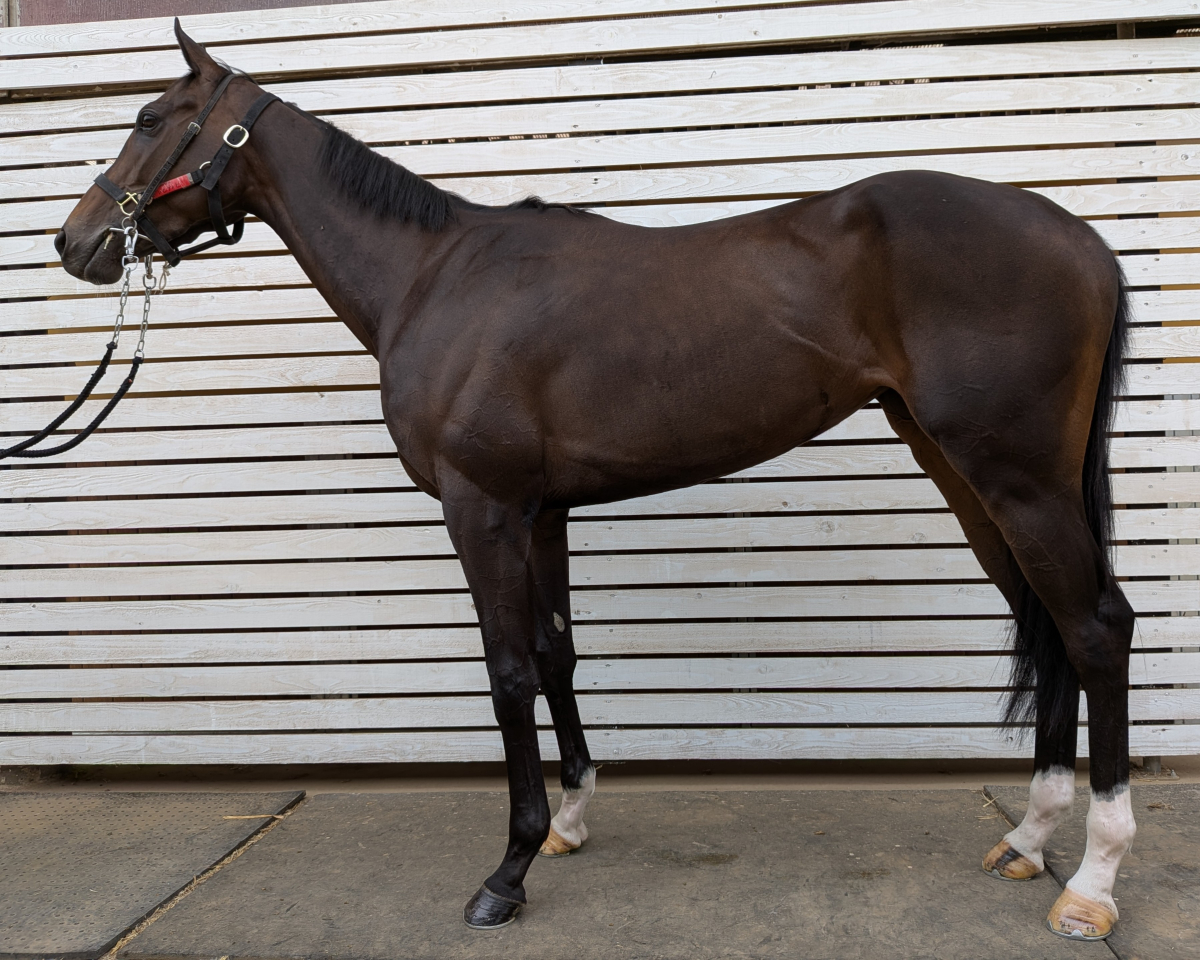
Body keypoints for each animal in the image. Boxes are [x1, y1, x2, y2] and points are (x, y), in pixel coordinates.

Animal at [56, 22, 1136, 940]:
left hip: (1016, 474)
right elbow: (556, 655)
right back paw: (1029, 840)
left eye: (147, 119)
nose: (74, 244)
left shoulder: (482, 510)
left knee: (1093, 628)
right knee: (1046, 621)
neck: (435, 279)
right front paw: (569, 822)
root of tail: (1081, 238)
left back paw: (1090, 883)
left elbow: (506, 672)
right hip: (965, 472)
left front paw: (508, 871)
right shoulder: (541, 512)